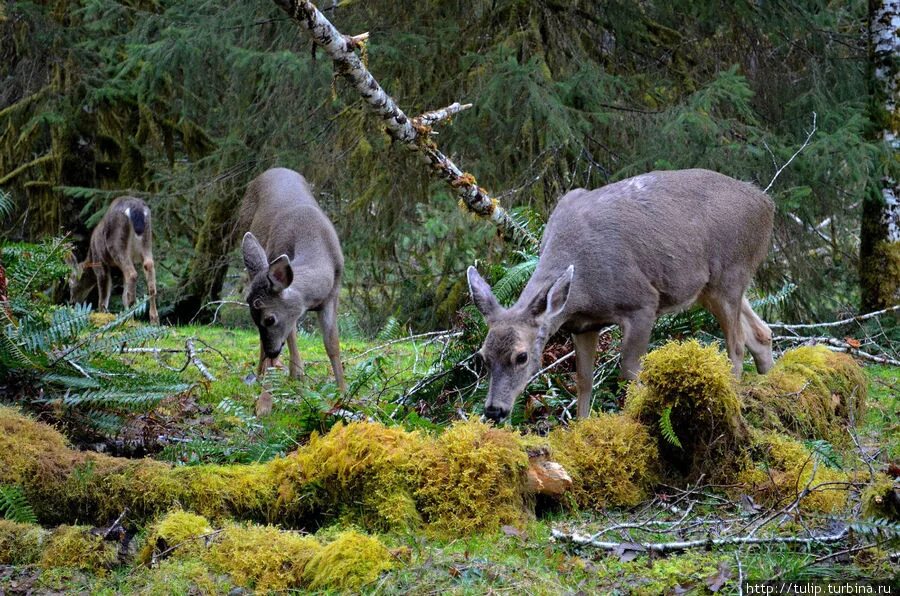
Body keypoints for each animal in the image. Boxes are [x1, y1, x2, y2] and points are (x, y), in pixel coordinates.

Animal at [239, 165, 348, 412]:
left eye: (269, 319)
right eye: (254, 318)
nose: (272, 350)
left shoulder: (333, 295)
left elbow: (332, 344)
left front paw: (344, 393)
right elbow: (288, 337)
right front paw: (264, 405)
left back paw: (295, 374)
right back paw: (267, 373)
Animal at [468, 170, 776, 422]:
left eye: (521, 356)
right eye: (482, 357)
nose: (494, 410)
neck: (582, 289)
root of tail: (766, 204)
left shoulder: (642, 302)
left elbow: (629, 371)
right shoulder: (583, 325)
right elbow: (584, 379)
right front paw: (581, 427)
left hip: (730, 272)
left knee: (736, 345)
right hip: (709, 288)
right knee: (762, 333)